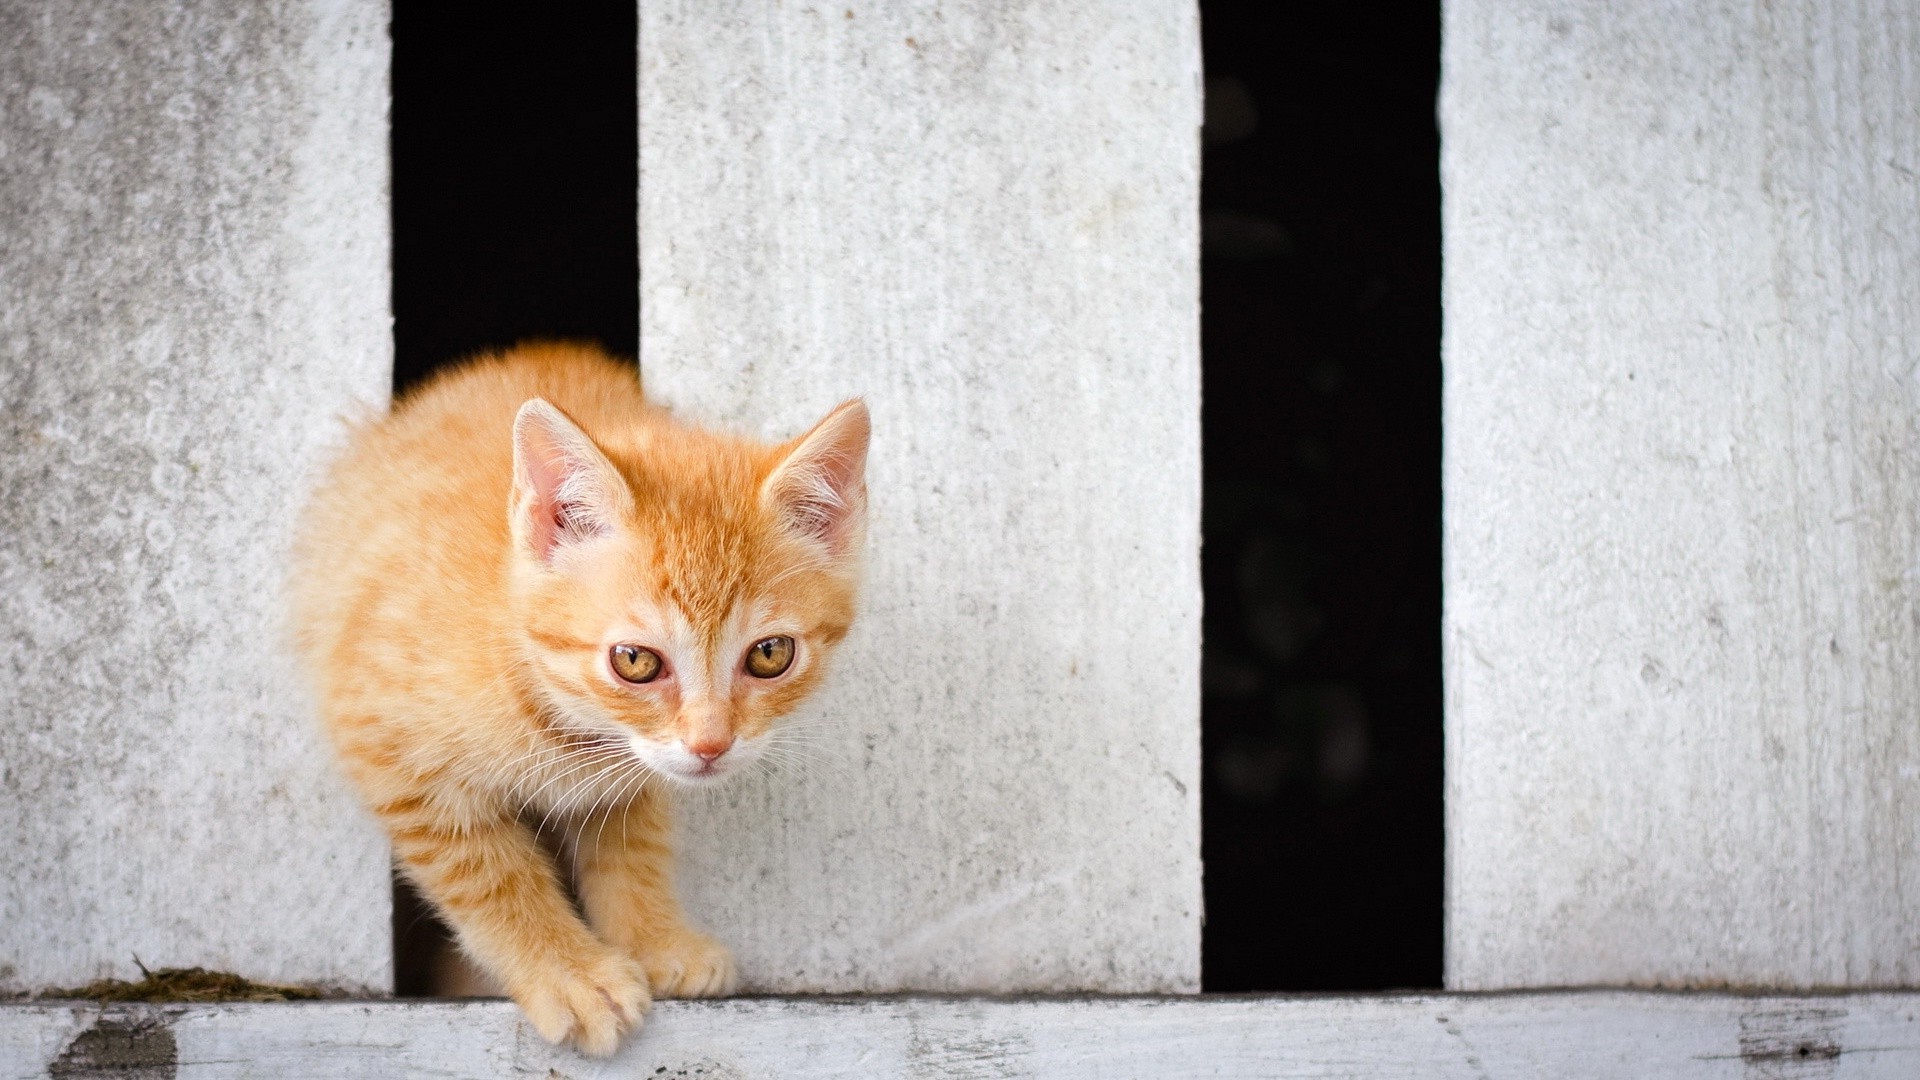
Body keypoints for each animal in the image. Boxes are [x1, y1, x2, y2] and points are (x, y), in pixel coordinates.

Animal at [291, 342, 871, 1053]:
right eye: (635, 661)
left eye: (770, 654)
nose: (711, 745)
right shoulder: (383, 734)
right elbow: (488, 872)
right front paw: (567, 972)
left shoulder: (635, 766)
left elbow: (631, 844)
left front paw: (655, 940)